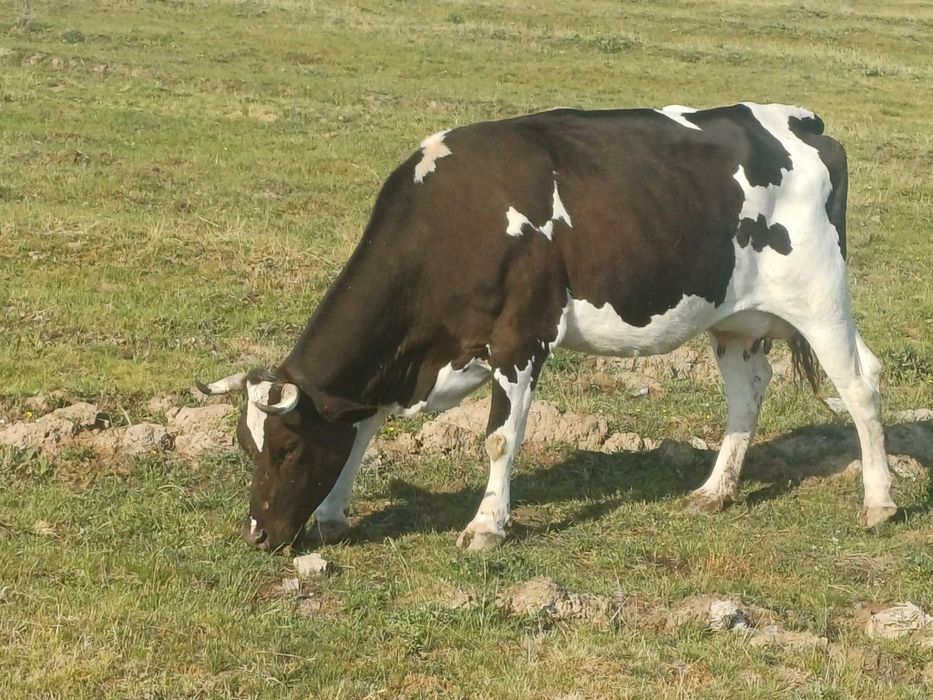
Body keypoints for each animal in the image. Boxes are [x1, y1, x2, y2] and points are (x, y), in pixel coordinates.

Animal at [199, 102, 897, 552]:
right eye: (247, 447)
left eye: (287, 449)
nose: (257, 535)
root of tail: (803, 122)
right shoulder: (427, 355)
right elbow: (363, 425)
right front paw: (335, 513)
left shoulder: (521, 339)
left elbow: (498, 440)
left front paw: (487, 527)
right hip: (734, 319)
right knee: (747, 392)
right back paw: (715, 491)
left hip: (820, 296)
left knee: (861, 385)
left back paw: (879, 502)